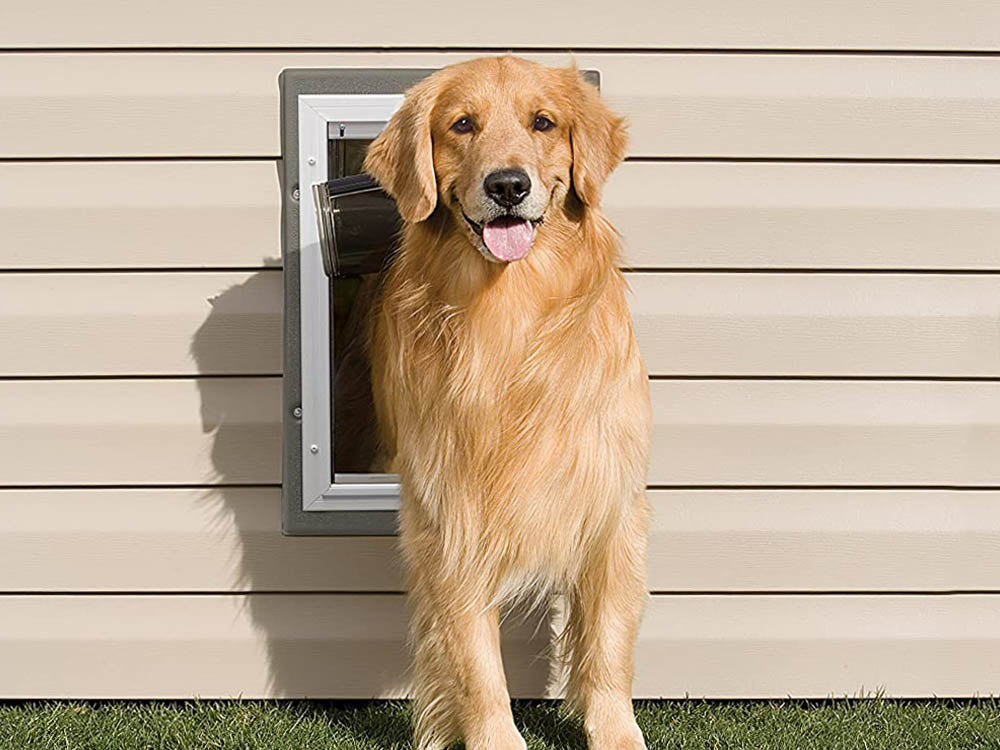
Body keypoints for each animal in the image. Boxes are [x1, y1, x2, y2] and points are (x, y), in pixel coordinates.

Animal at [364, 57, 652, 750]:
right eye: (461, 124)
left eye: (542, 122)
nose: (508, 186)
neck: (511, 315)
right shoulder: (450, 517)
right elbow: (473, 658)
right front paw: (494, 736)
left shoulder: (614, 503)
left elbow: (609, 644)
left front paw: (615, 731)